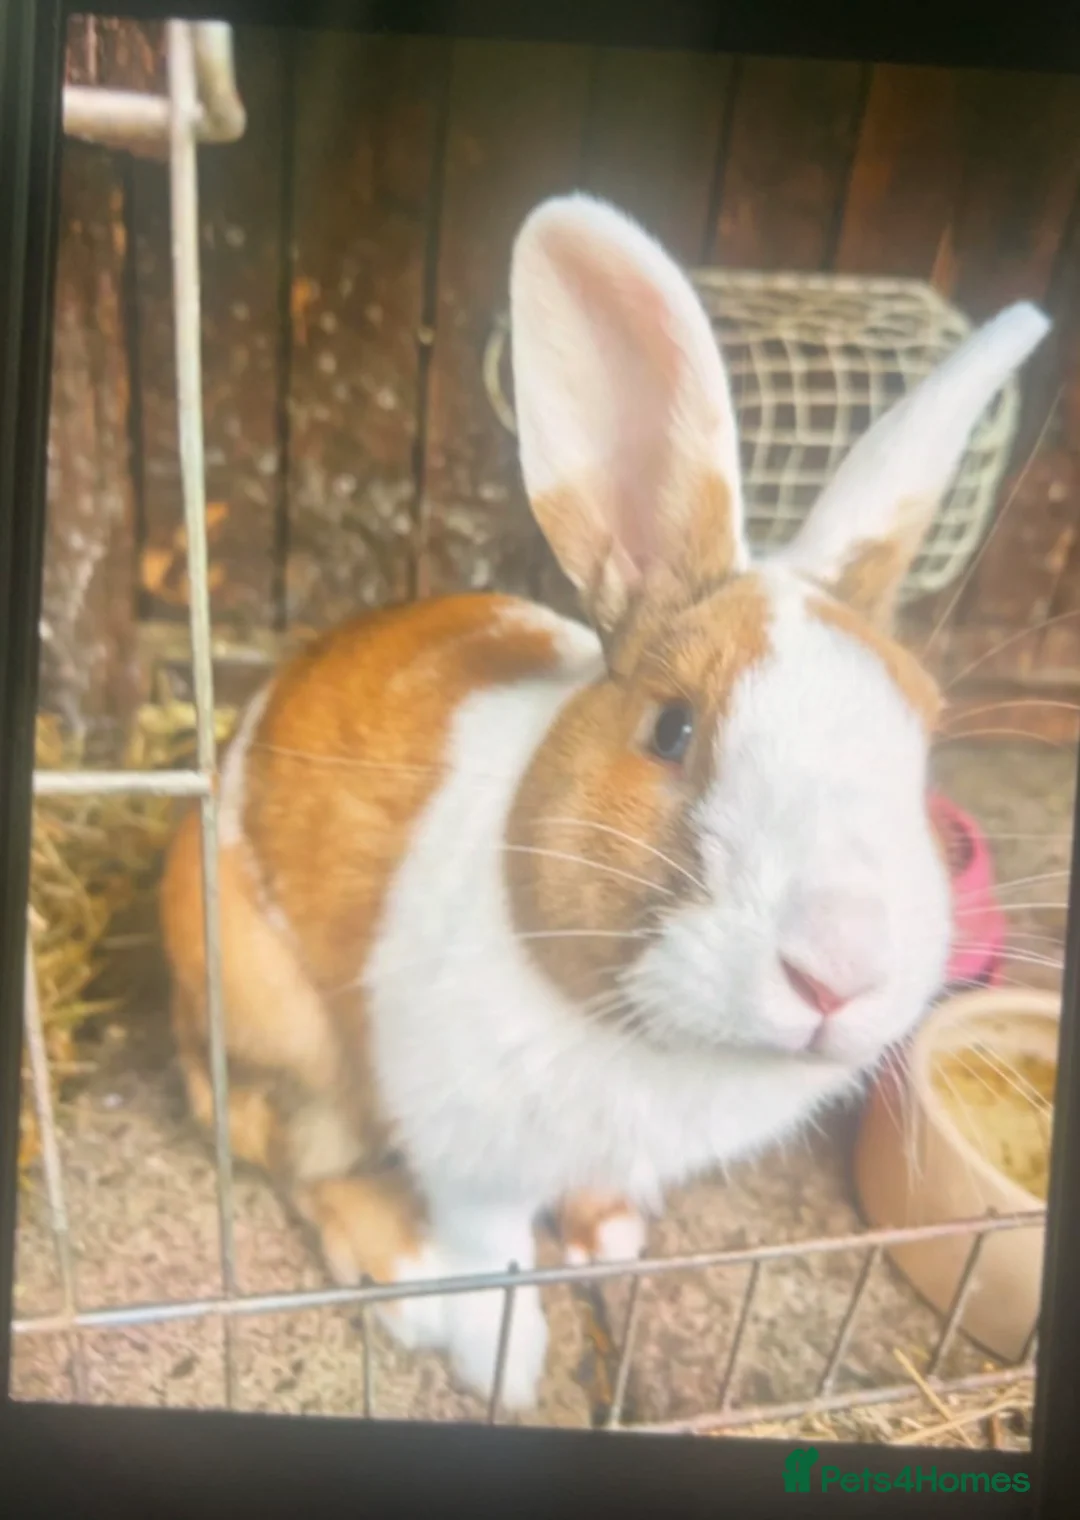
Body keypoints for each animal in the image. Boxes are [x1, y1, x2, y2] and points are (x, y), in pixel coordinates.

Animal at [159, 194, 1050, 1412]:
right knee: (293, 1154)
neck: (669, 1045)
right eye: (672, 729)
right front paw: (506, 1364)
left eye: (919, 750)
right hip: (291, 1037)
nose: (838, 974)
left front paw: (608, 1237)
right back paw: (411, 1283)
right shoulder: (471, 1151)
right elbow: (491, 1244)